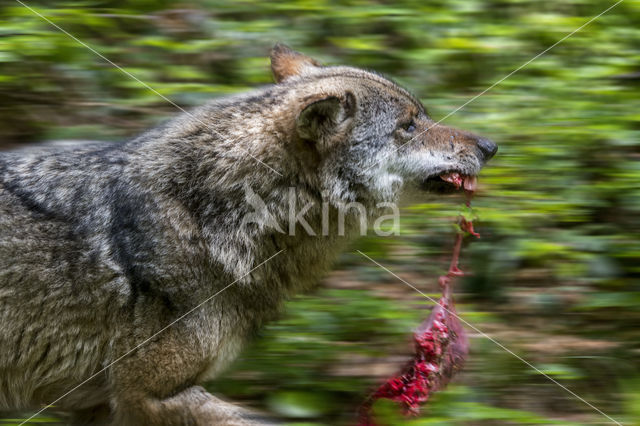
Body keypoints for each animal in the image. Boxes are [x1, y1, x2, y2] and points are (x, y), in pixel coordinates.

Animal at [0, 45, 496, 424]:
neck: (211, 215)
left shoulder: (103, 405)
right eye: (408, 126)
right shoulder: (148, 396)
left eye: (422, 117)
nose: (491, 146)